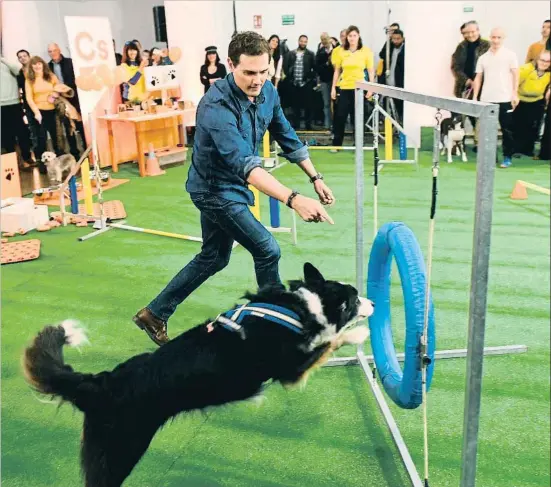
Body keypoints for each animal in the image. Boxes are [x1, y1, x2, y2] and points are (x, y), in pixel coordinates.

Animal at [22, 264, 376, 486]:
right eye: (354, 299)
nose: (372, 302)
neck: (304, 307)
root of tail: (100, 383)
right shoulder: (292, 368)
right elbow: (329, 342)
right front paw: (358, 335)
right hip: (119, 452)